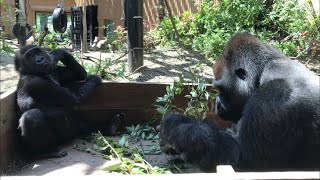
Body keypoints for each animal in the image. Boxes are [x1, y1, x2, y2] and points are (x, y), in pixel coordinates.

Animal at [160, 31, 320, 171]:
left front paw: (177, 126)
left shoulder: (276, 96)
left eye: (221, 89)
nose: (217, 103)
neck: (263, 72)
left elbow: (243, 158)